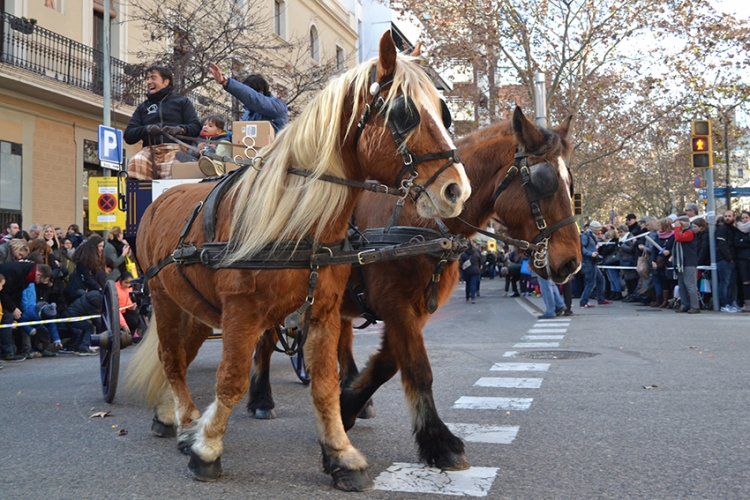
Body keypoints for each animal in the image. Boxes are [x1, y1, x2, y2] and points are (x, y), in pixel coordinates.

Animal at [126, 32, 472, 492]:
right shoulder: (242, 311)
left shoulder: (324, 312)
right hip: (163, 297)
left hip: (196, 308)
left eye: (444, 112)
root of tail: (163, 196)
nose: (457, 190)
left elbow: (325, 385)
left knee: (178, 354)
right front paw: (207, 448)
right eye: (404, 113)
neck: (295, 221)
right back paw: (185, 423)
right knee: (171, 357)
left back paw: (171, 415)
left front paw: (342, 455)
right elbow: (231, 379)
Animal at [247, 104, 580, 468]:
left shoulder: (414, 309)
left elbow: (388, 364)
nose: (572, 263)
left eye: (570, 185)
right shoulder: (395, 304)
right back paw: (261, 399)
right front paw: (439, 441)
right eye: (543, 181)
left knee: (340, 341)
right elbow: (418, 367)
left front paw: (347, 407)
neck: (420, 221)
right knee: (264, 340)